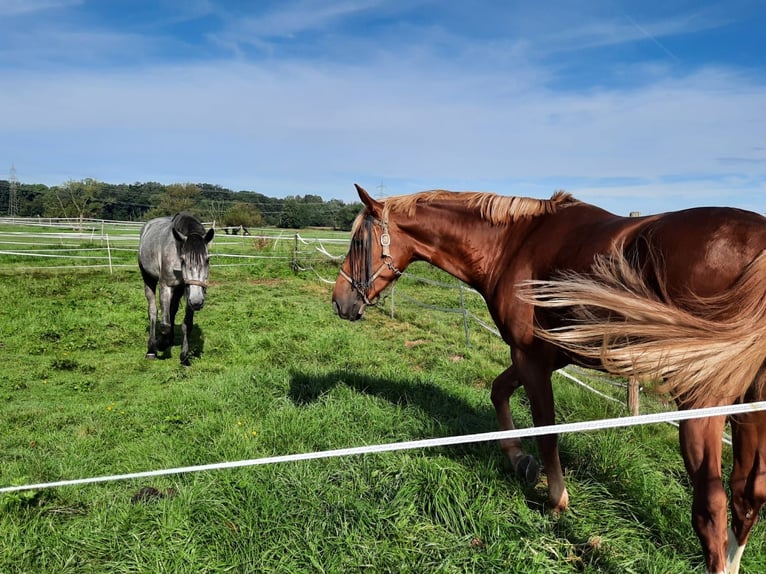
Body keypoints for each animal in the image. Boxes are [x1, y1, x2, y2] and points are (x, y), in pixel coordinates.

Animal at [138, 214, 214, 366]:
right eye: (184, 260)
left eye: (207, 260)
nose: (198, 302)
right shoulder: (166, 287)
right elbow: (165, 325)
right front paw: (160, 344)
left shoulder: (188, 292)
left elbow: (187, 324)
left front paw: (184, 357)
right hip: (148, 279)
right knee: (153, 311)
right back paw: (152, 349)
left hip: (179, 291)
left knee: (171, 311)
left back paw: (170, 340)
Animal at [334, 184, 766, 574]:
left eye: (358, 242)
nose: (340, 301)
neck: (513, 244)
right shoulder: (546, 357)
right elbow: (499, 392)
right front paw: (519, 460)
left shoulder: (530, 358)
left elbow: (546, 430)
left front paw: (556, 498)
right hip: (751, 409)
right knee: (747, 495)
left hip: (701, 403)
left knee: (712, 506)